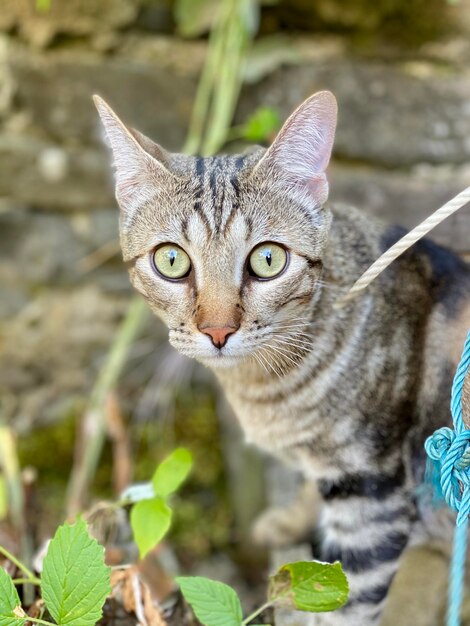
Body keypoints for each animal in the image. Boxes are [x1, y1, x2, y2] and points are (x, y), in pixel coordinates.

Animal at [94, 92, 470, 624]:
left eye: (267, 260)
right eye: (171, 260)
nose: (217, 330)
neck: (263, 387)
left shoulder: (372, 491)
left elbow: (348, 603)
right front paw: (291, 521)